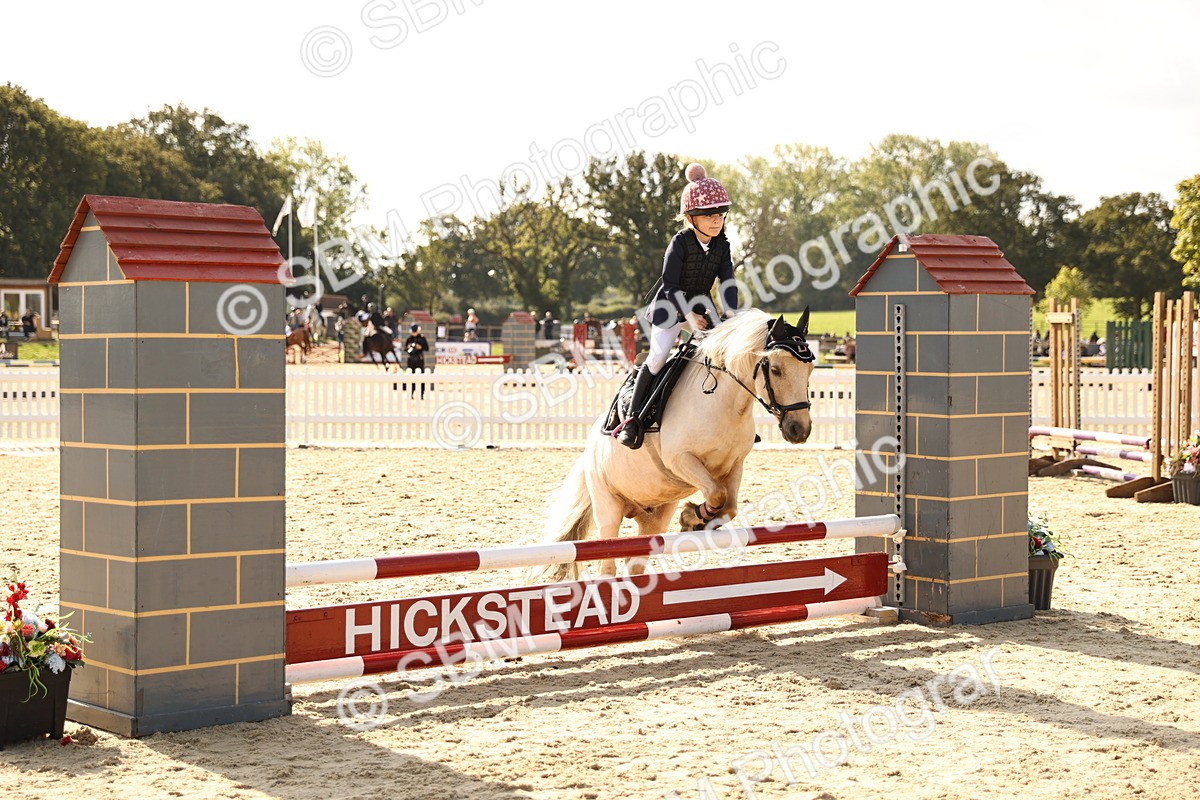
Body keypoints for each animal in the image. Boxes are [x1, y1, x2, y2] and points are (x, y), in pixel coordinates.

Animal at [542, 308, 815, 582]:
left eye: (810, 369)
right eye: (776, 369)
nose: (799, 430)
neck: (723, 402)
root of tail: (589, 449)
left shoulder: (734, 465)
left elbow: (729, 507)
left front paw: (695, 519)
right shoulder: (681, 459)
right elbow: (717, 494)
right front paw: (691, 516)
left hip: (656, 516)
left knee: (635, 561)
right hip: (607, 505)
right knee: (607, 559)